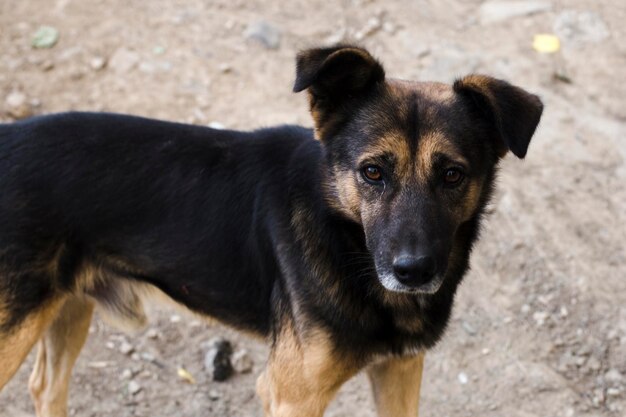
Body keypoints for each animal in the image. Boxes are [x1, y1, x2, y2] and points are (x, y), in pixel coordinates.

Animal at [0, 45, 540, 416]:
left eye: (452, 174)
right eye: (372, 172)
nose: (414, 271)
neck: (344, 240)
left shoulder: (401, 369)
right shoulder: (291, 395)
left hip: (71, 303)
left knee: (45, 389)